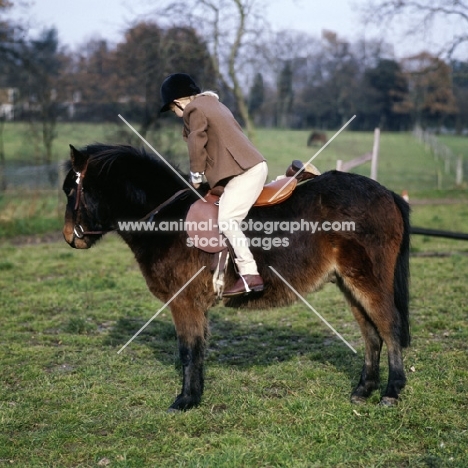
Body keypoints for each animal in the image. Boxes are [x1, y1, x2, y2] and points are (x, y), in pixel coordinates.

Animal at [61, 143, 410, 410]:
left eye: (71, 189)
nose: (69, 237)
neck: (168, 219)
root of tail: (386, 192)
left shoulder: (183, 302)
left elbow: (188, 349)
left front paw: (185, 400)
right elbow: (198, 349)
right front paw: (195, 395)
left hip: (368, 280)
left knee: (389, 327)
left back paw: (391, 392)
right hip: (348, 283)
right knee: (371, 334)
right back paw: (363, 390)